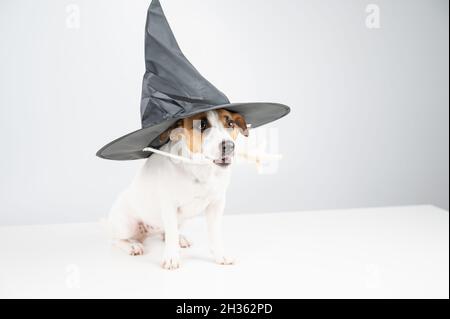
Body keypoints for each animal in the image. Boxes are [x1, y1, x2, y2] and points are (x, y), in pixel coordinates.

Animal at [108, 109, 250, 270]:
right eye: (202, 125)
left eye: (230, 123)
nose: (230, 146)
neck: (200, 169)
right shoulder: (169, 206)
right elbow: (171, 234)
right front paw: (171, 257)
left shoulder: (217, 204)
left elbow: (215, 234)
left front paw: (220, 255)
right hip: (126, 224)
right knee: (117, 239)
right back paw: (132, 246)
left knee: (166, 232)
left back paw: (179, 238)